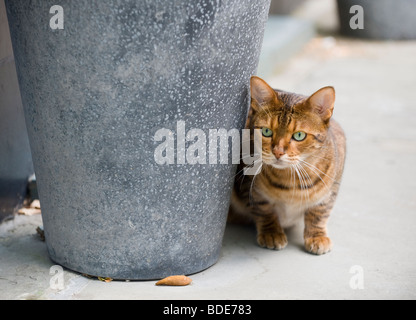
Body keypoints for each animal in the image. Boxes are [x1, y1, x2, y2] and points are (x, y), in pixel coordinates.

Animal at [229, 76, 346, 254]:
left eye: (299, 135)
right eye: (266, 131)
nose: (277, 152)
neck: (291, 180)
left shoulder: (333, 186)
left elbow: (320, 211)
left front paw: (317, 235)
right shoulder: (248, 186)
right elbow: (264, 210)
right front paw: (271, 232)